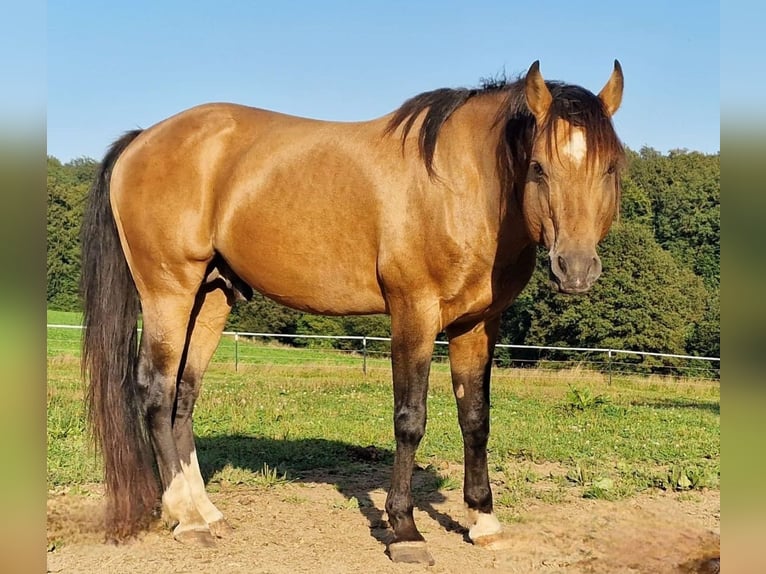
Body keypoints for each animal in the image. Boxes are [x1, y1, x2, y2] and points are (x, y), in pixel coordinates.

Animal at [81, 59, 628, 568]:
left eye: (609, 168)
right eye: (538, 166)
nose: (576, 268)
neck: (460, 185)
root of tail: (142, 139)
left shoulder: (477, 325)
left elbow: (475, 418)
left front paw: (483, 521)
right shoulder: (414, 313)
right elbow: (410, 419)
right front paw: (405, 531)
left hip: (212, 295)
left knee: (184, 396)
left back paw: (206, 512)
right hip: (168, 291)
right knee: (155, 392)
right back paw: (186, 520)